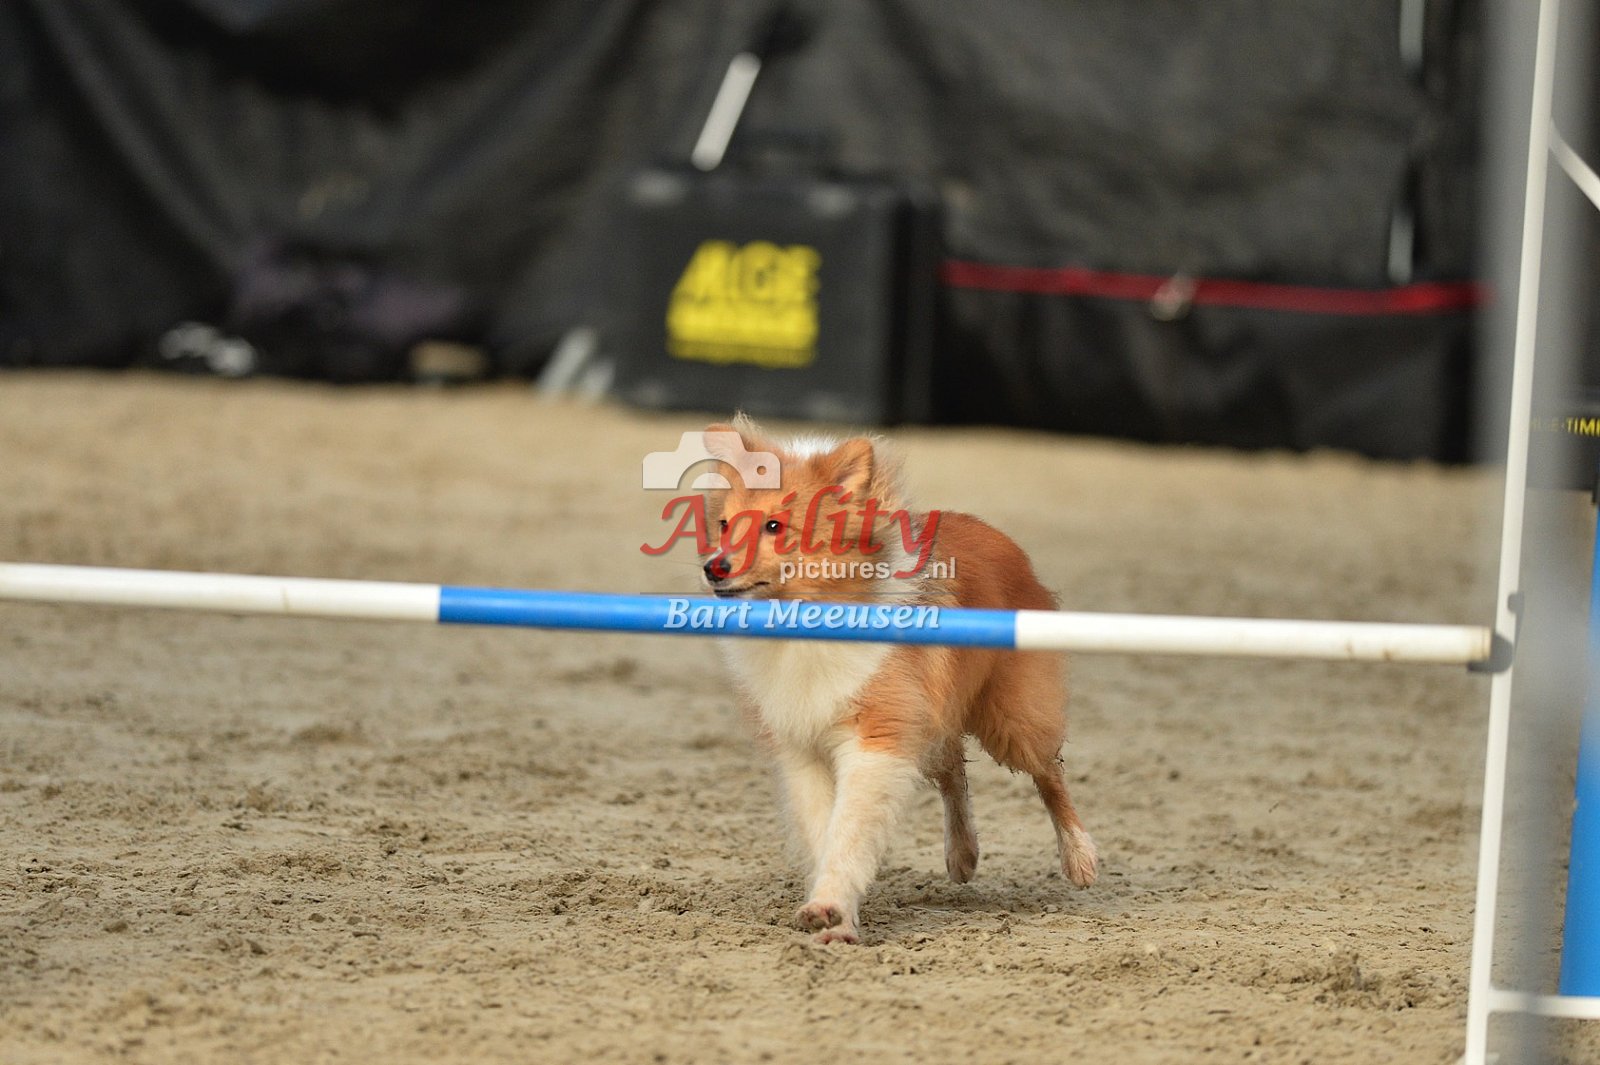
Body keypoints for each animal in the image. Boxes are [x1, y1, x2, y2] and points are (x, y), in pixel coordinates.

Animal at [696, 416, 1097, 944]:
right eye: (724, 524)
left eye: (775, 526)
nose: (714, 567)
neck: (810, 618)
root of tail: (999, 537)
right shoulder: (804, 748)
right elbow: (824, 829)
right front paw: (836, 915)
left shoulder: (877, 737)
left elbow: (850, 829)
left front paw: (830, 909)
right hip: (937, 712)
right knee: (953, 769)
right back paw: (962, 853)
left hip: (1013, 718)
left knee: (1049, 774)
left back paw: (1079, 858)